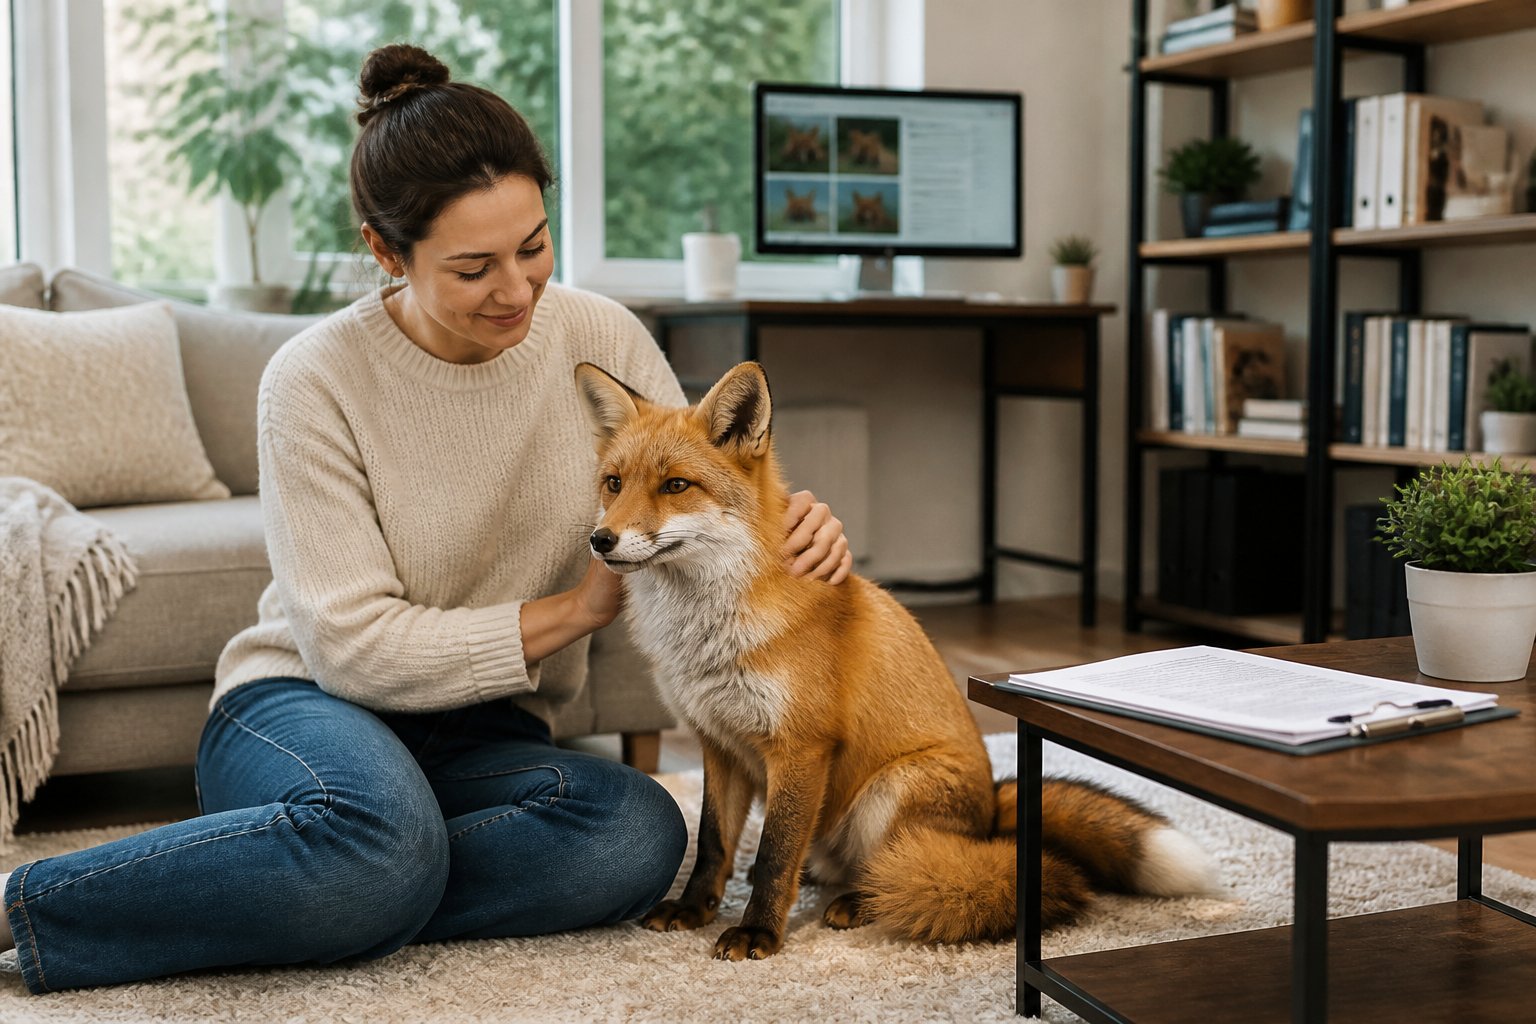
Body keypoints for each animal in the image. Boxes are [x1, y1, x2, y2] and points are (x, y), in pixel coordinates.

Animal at [574, 360, 1215, 961]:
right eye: (614, 483)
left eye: (676, 485)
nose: (601, 541)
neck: (706, 636)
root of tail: (990, 812)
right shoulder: (721, 744)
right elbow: (713, 843)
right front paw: (694, 908)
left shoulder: (801, 746)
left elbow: (777, 849)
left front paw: (758, 931)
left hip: (891, 791)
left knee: (900, 867)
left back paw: (859, 901)